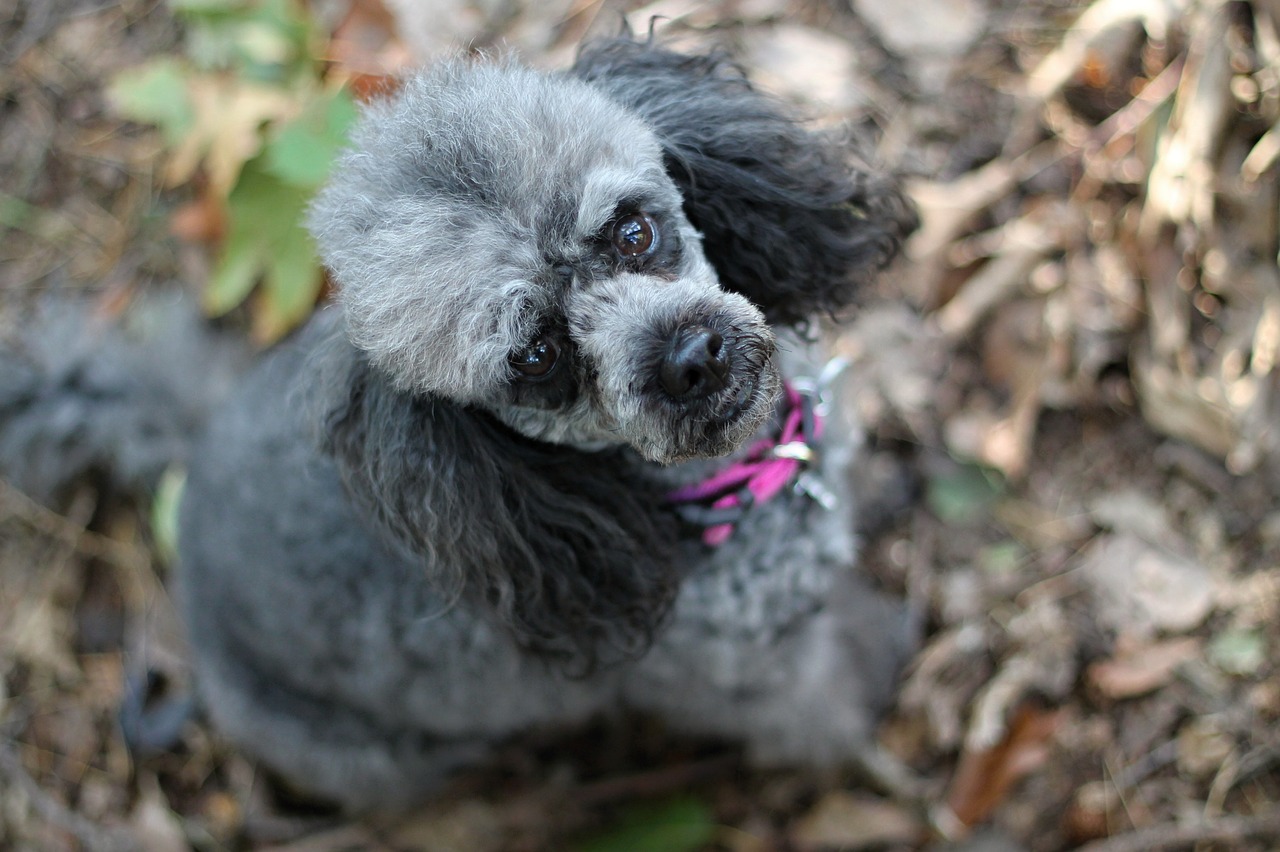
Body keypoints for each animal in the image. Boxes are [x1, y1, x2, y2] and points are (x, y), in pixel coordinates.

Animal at [0, 36, 921, 808]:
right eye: (537, 357)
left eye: (632, 231)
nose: (692, 360)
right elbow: (830, 696)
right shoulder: (759, 675)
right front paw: (879, 670)